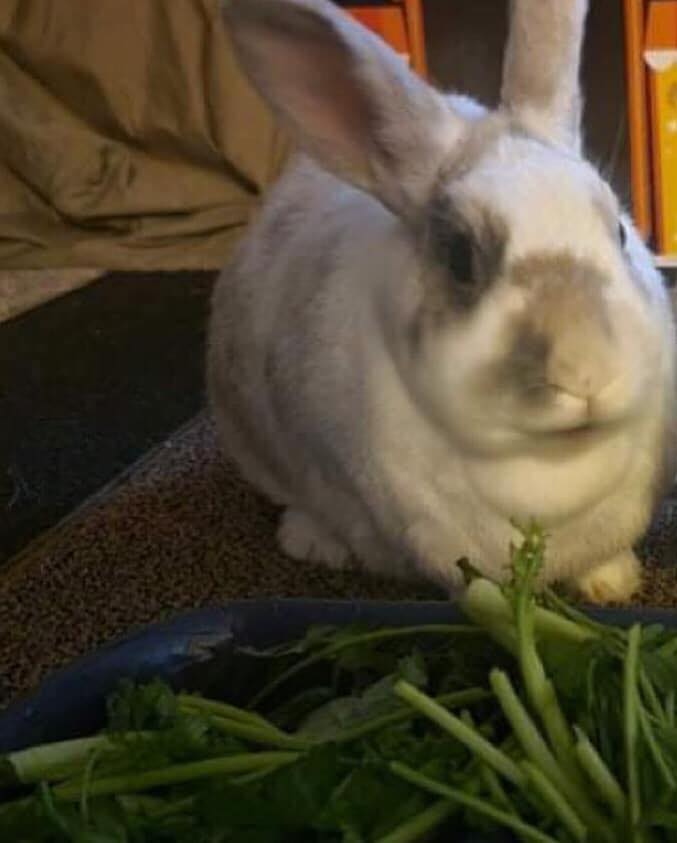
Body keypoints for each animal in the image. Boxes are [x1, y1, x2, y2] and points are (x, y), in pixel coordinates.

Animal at [207, 0, 677, 603]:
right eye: (459, 258)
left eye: (619, 231)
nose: (587, 372)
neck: (551, 462)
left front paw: (613, 586)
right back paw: (312, 541)